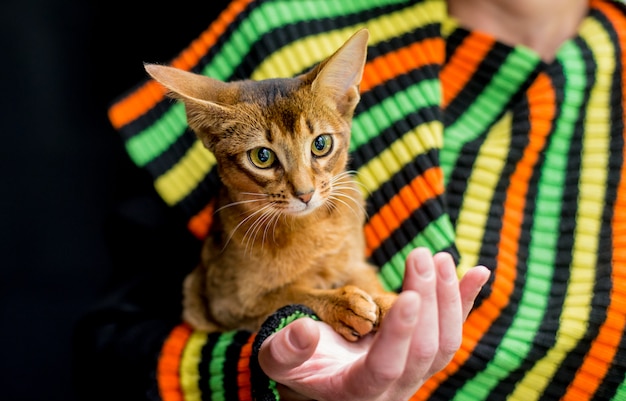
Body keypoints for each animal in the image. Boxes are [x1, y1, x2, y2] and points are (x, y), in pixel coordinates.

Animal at [144, 28, 398, 340]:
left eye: (321, 144)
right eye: (262, 157)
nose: (305, 194)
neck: (313, 228)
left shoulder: (354, 262)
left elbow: (367, 279)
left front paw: (388, 300)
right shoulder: (226, 304)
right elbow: (291, 293)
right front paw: (343, 304)